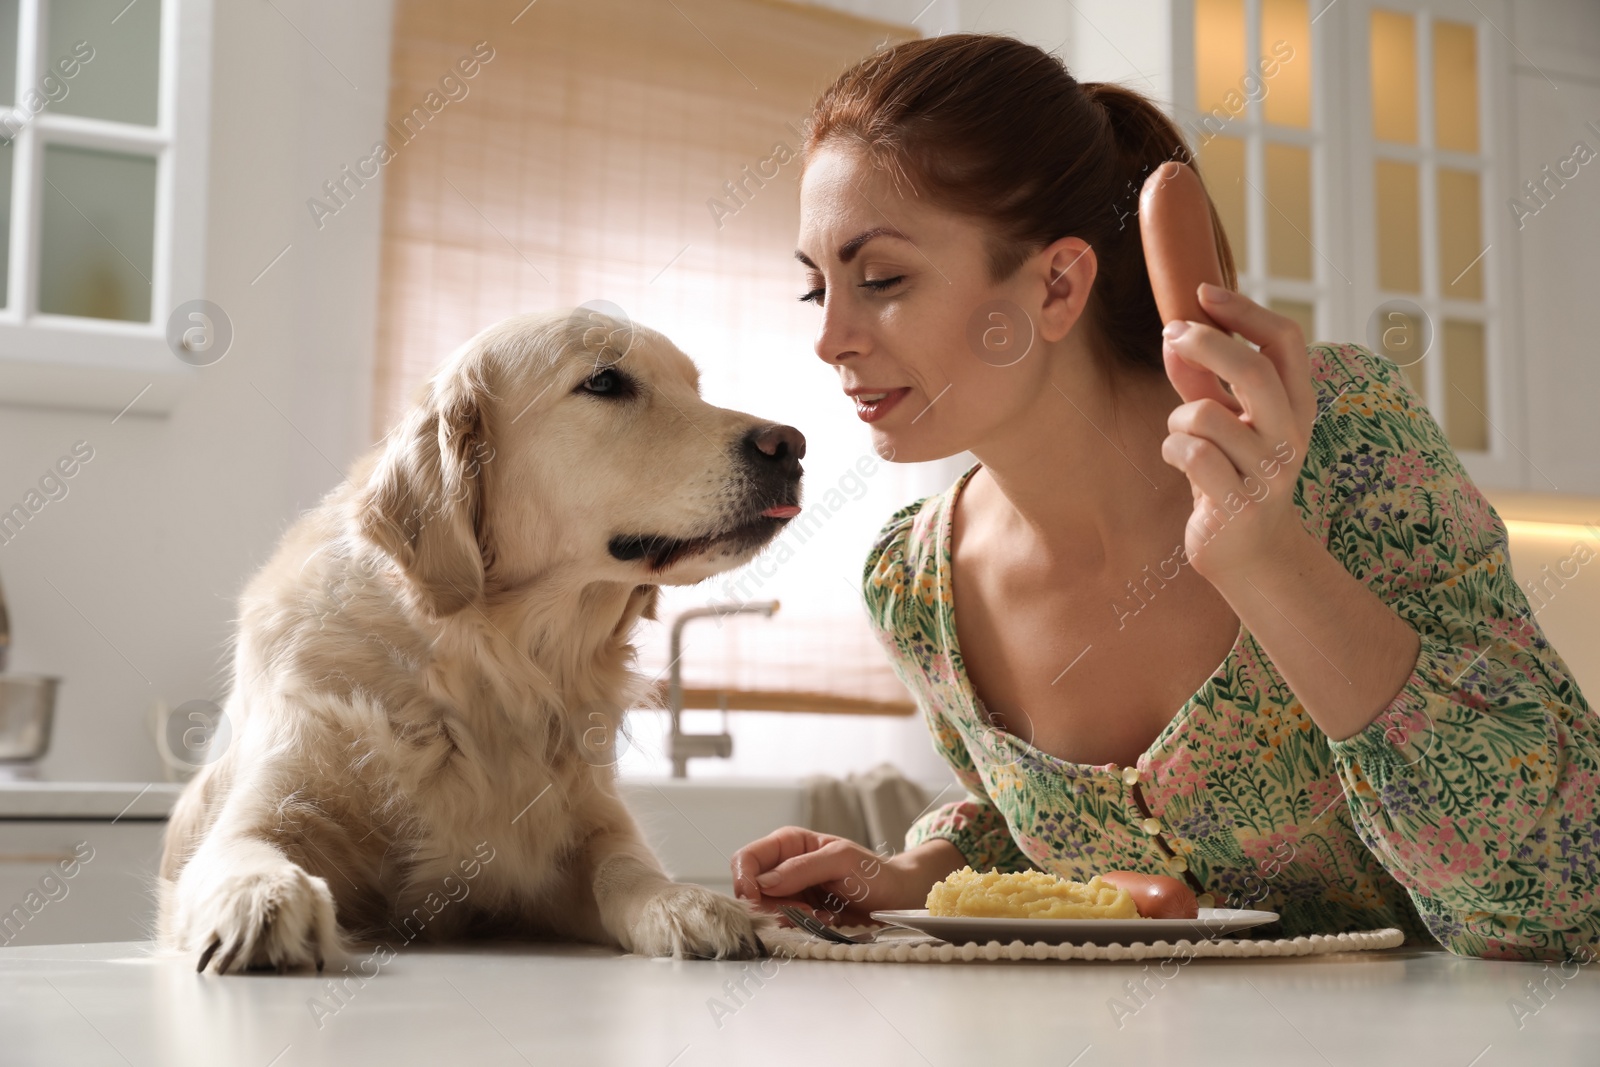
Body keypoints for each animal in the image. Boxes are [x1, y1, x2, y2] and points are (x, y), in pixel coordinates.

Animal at [159, 308, 800, 979]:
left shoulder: (588, 826)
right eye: (604, 382)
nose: (792, 445)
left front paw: (684, 900)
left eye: (695, 388)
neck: (488, 668)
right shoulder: (273, 799)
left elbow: (625, 864)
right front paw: (265, 896)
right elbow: (243, 846)